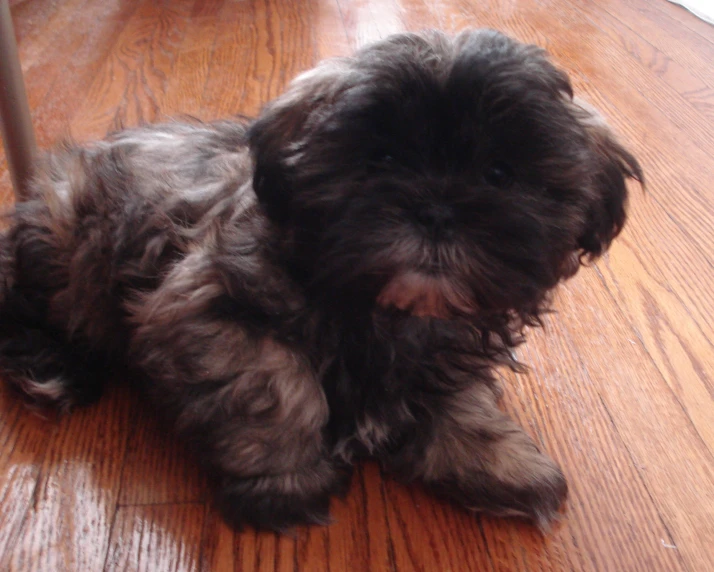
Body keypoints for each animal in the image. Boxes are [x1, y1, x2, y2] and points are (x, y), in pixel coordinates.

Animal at [0, 30, 640, 532]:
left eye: (500, 173)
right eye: (381, 161)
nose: (436, 210)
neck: (382, 309)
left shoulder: (447, 343)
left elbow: (460, 397)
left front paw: (495, 463)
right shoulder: (203, 306)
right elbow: (281, 386)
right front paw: (284, 483)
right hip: (69, 250)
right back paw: (54, 368)